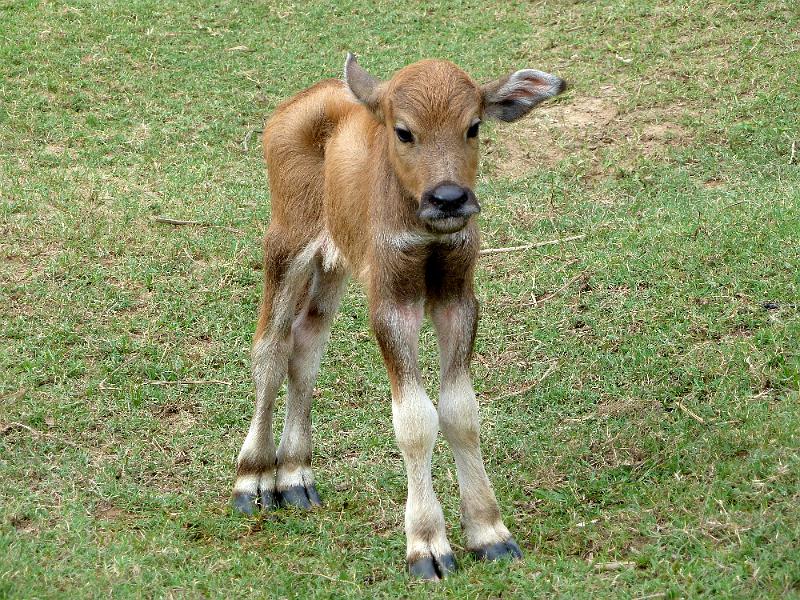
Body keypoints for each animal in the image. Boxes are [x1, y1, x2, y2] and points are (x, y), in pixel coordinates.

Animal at [231, 54, 564, 580]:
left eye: (473, 126)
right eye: (404, 131)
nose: (449, 198)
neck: (424, 232)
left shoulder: (457, 299)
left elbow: (460, 411)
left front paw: (489, 532)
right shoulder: (391, 306)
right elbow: (414, 419)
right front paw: (426, 545)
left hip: (334, 262)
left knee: (306, 344)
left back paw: (297, 475)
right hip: (287, 241)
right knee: (270, 347)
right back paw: (252, 480)